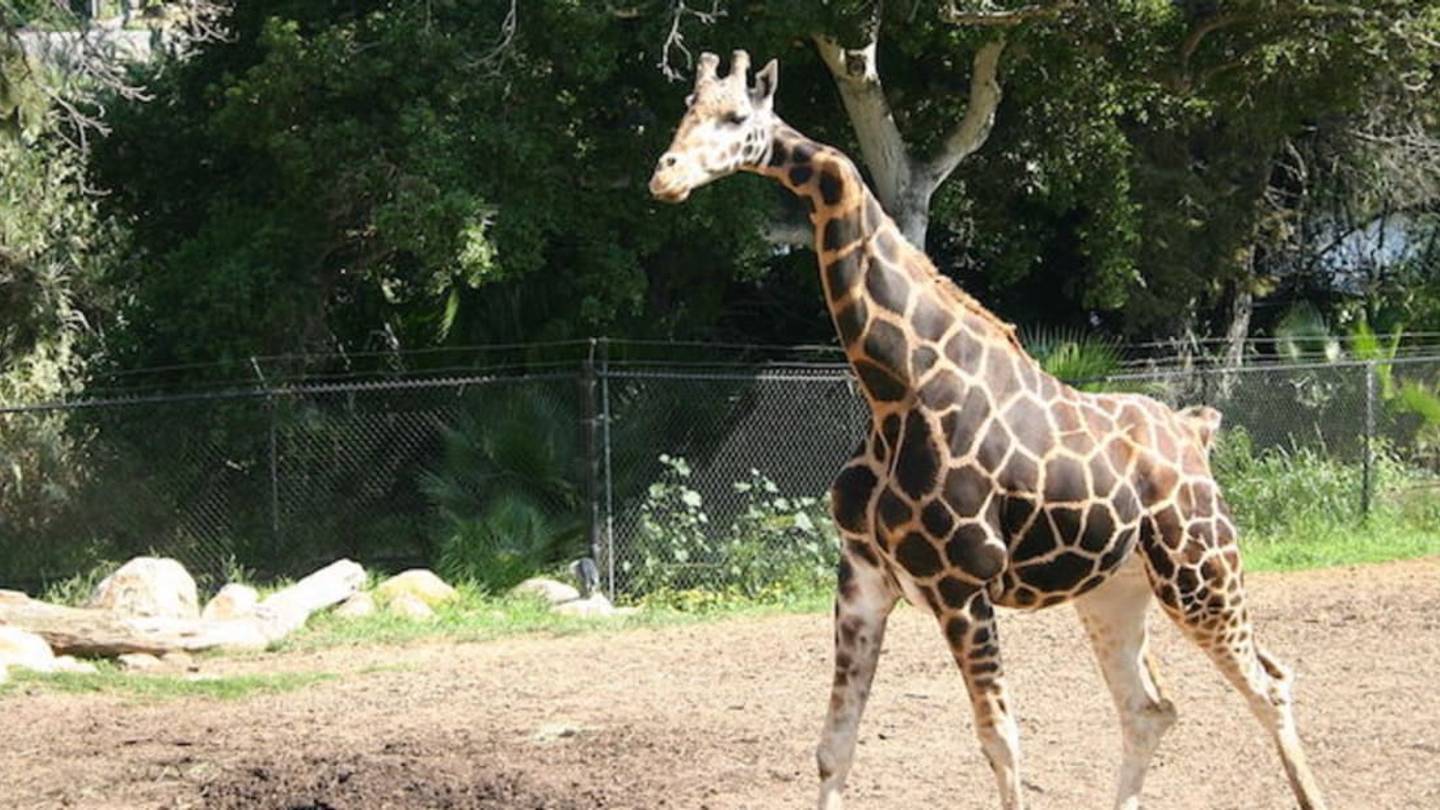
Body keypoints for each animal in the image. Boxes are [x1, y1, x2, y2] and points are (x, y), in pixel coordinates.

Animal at [649, 51, 1327, 810]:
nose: (666, 175)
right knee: (1151, 708)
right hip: (1116, 589)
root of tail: (1195, 431)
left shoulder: (961, 586)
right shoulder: (861, 580)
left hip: (1202, 571)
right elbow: (833, 747)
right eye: (686, 107)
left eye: (737, 116)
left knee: (1269, 685)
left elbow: (1001, 742)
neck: (894, 392)